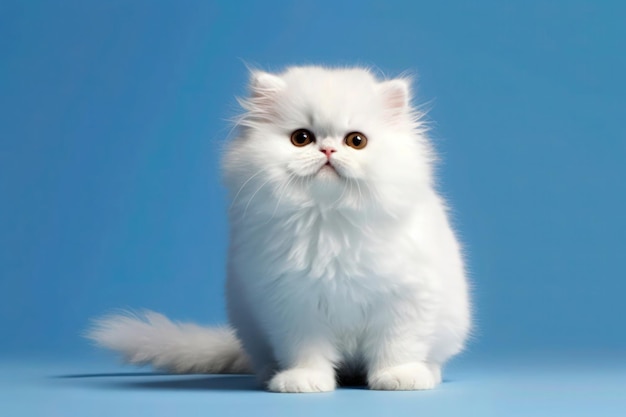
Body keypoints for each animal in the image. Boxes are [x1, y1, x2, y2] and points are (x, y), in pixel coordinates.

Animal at [86, 66, 468, 392]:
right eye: (302, 138)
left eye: (356, 141)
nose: (328, 150)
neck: (328, 221)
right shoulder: (293, 304)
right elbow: (307, 351)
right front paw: (303, 381)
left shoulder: (405, 300)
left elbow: (396, 346)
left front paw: (398, 377)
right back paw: (271, 374)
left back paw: (428, 373)